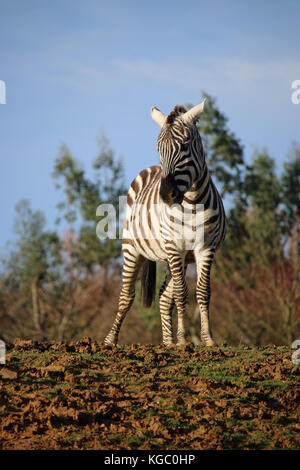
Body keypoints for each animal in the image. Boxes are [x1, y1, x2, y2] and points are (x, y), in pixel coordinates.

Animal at [104, 100, 226, 346]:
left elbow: (202, 291)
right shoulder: (174, 247)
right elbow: (181, 292)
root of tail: (152, 168)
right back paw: (111, 340)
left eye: (185, 146)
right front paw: (183, 341)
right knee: (126, 295)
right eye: (159, 148)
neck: (192, 202)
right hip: (132, 249)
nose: (166, 195)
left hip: (176, 258)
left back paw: (167, 343)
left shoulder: (205, 248)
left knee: (163, 295)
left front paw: (207, 340)